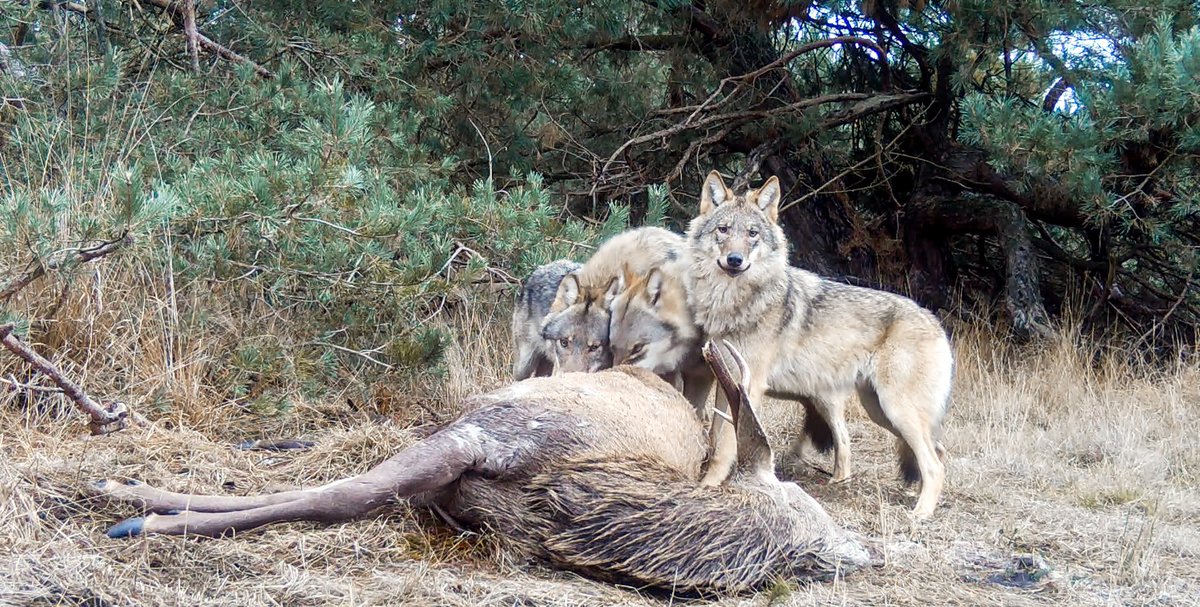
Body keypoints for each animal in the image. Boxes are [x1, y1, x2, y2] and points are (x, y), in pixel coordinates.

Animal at [93, 341, 870, 595]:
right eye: (806, 504)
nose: (862, 550)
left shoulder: (462, 458)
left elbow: (347, 494)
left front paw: (141, 510)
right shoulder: (479, 433)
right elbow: (341, 490)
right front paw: (133, 497)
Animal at [683, 170, 954, 519]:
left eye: (753, 233)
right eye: (724, 230)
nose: (735, 260)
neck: (736, 302)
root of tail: (936, 323)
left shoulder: (749, 386)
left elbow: (726, 444)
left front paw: (709, 487)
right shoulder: (725, 379)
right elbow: (718, 437)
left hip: (895, 410)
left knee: (934, 463)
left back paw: (920, 514)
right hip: (879, 410)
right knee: (935, 451)